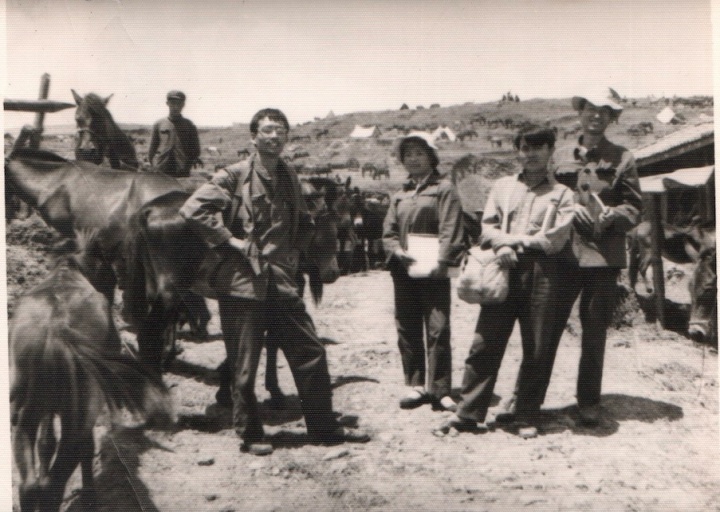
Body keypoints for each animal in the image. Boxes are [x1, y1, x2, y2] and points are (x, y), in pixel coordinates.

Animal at [10, 232, 172, 512]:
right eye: (113, 272)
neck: (68, 272)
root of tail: (57, 331)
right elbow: (85, 447)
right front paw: (89, 494)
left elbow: (46, 443)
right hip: (78, 415)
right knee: (53, 483)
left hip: (26, 413)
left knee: (29, 485)